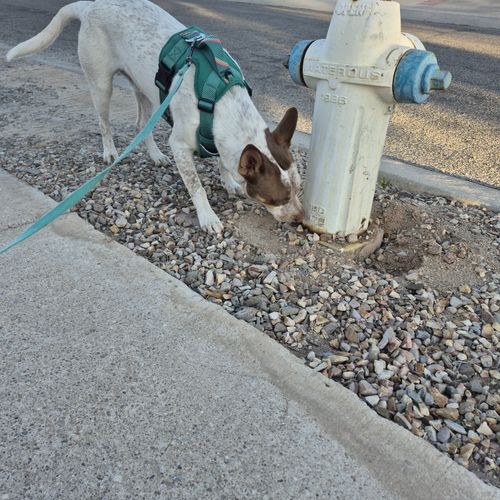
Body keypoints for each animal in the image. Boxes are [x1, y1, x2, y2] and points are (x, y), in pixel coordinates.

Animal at [6, 0, 304, 233]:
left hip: (148, 90)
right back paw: (110, 151)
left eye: (298, 189)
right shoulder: (180, 145)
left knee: (142, 124)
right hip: (102, 85)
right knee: (104, 122)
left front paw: (229, 181)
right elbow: (196, 186)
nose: (302, 219)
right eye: (276, 199)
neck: (223, 102)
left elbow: (224, 162)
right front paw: (207, 216)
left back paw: (155, 154)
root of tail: (91, 6)